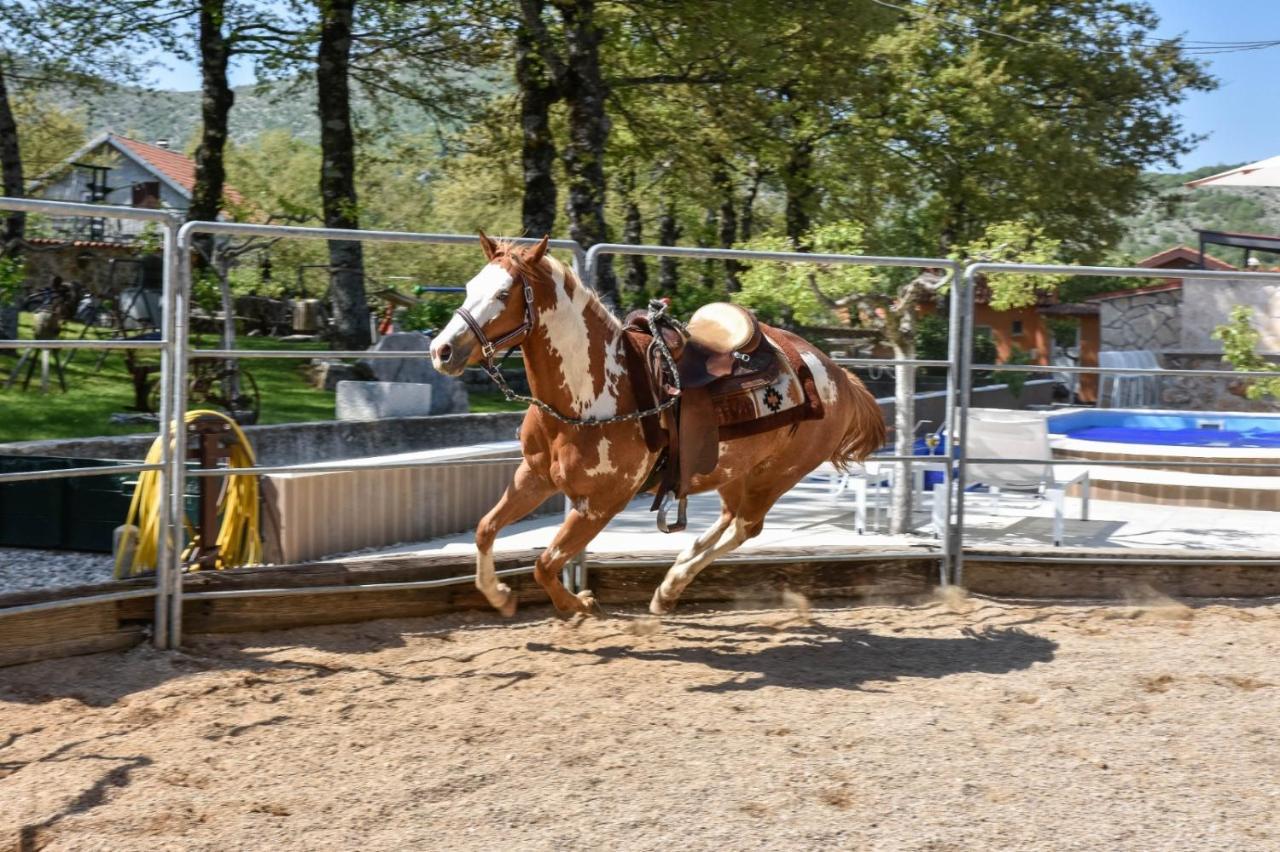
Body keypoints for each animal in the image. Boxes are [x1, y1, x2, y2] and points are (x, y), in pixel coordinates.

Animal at [430, 234, 890, 616]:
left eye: (503, 293)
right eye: (469, 287)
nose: (441, 350)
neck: (591, 397)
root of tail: (838, 375)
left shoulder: (600, 505)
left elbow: (544, 564)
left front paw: (582, 604)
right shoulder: (534, 475)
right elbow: (486, 529)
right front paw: (500, 596)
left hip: (775, 476)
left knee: (745, 527)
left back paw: (672, 585)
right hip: (729, 469)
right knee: (727, 519)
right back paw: (676, 572)